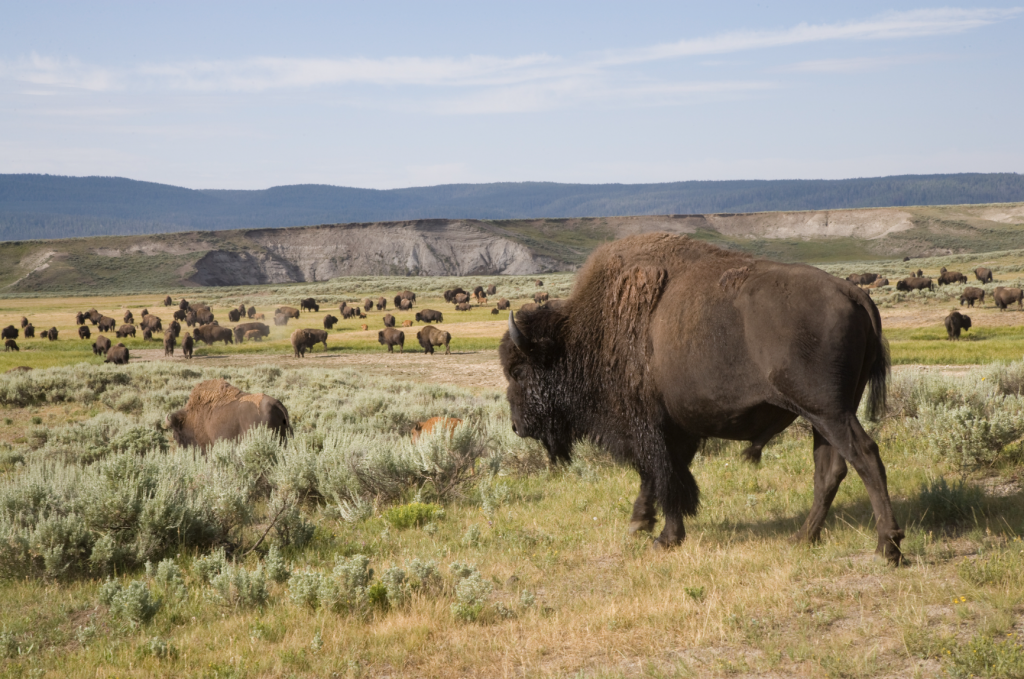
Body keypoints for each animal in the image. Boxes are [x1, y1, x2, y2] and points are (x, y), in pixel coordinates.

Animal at [499, 233, 901, 561]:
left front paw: (664, 538)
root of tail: (854, 293)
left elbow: (666, 478)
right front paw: (639, 524)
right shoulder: (676, 429)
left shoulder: (650, 427)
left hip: (828, 411)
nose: (517, 426)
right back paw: (803, 538)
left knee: (865, 457)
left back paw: (888, 546)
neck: (586, 334)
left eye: (519, 371)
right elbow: (662, 477)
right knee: (830, 469)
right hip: (824, 416)